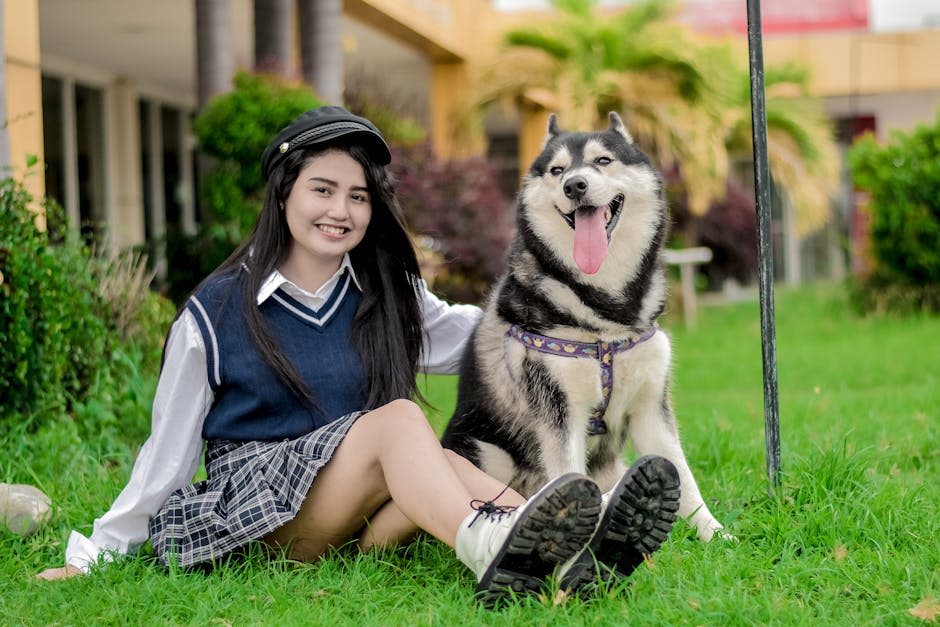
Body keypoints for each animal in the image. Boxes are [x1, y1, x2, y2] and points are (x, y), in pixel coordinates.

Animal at [442, 112, 725, 543]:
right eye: (557, 170)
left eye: (602, 161)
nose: (574, 185)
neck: (606, 317)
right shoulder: (559, 413)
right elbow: (570, 477)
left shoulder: (651, 408)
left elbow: (684, 476)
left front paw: (715, 535)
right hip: (490, 453)